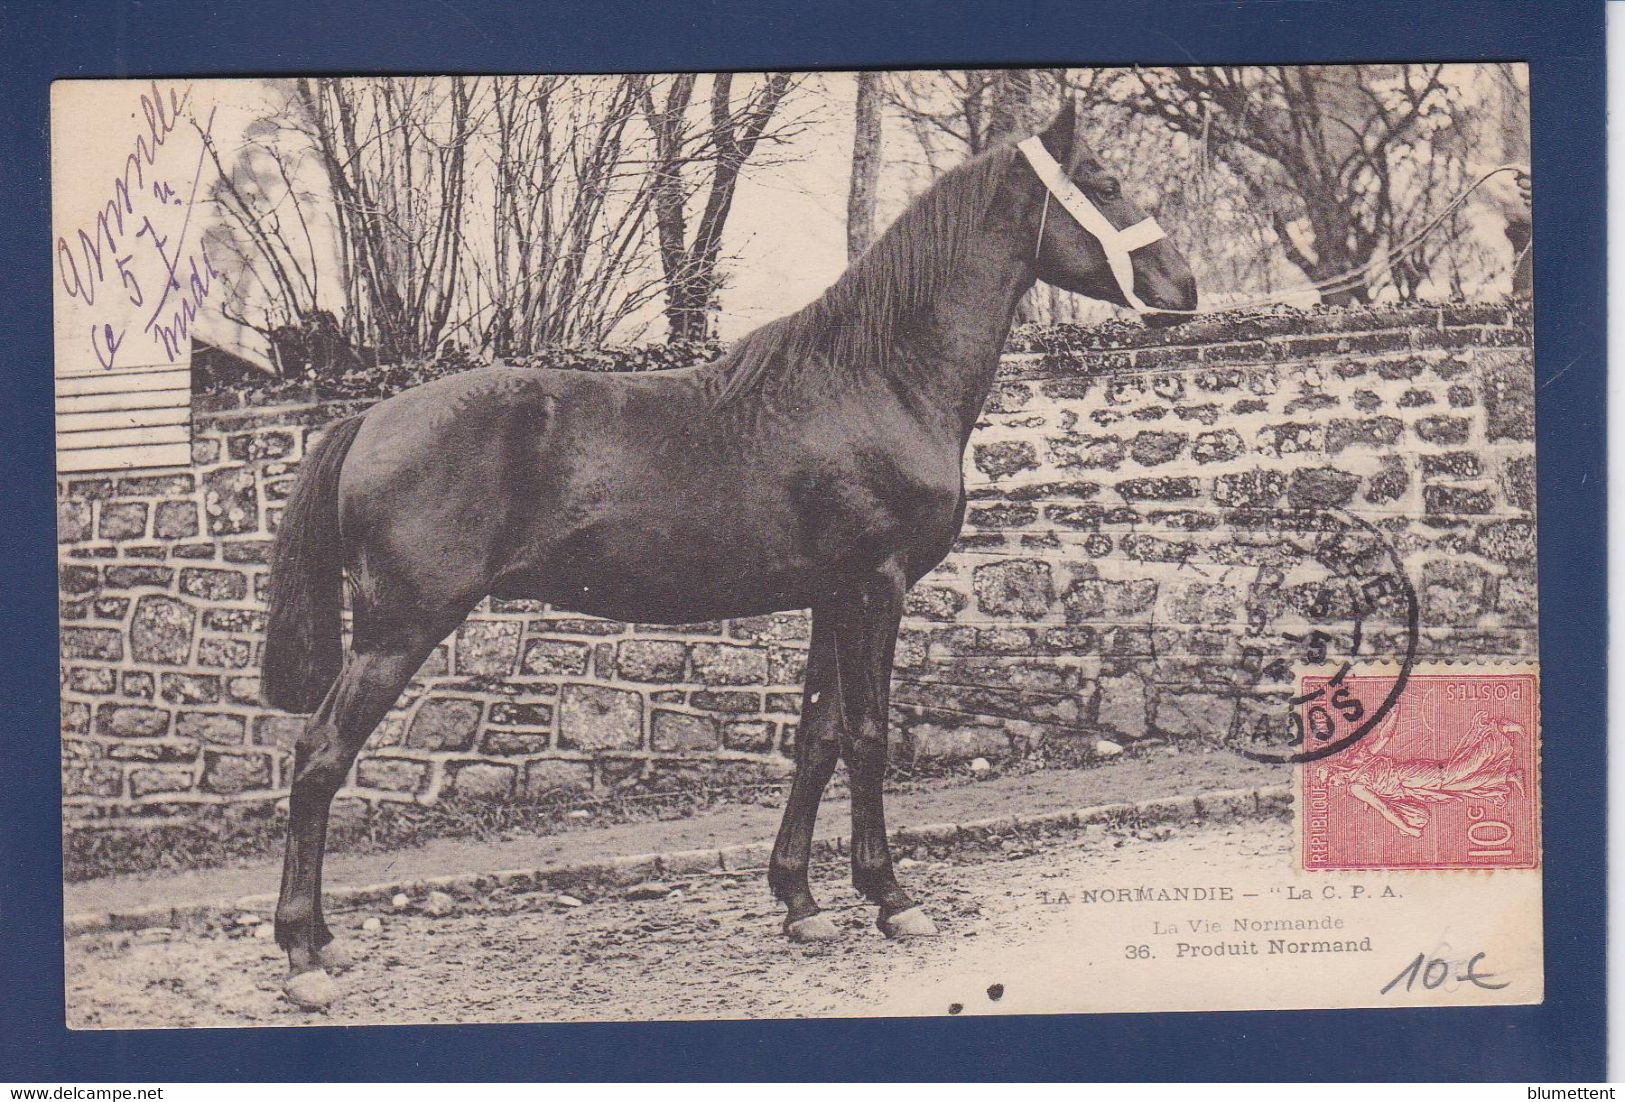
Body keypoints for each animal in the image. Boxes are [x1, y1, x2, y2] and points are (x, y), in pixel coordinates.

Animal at [263, 103, 1196, 1007]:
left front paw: (800, 902)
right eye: (1103, 181)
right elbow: (868, 735)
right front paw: (891, 898)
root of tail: (368, 418)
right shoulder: (878, 586)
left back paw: (321, 943)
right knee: (319, 755)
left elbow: (818, 737)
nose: (1183, 285)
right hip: (399, 631)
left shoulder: (831, 595)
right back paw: (304, 956)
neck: (879, 378)